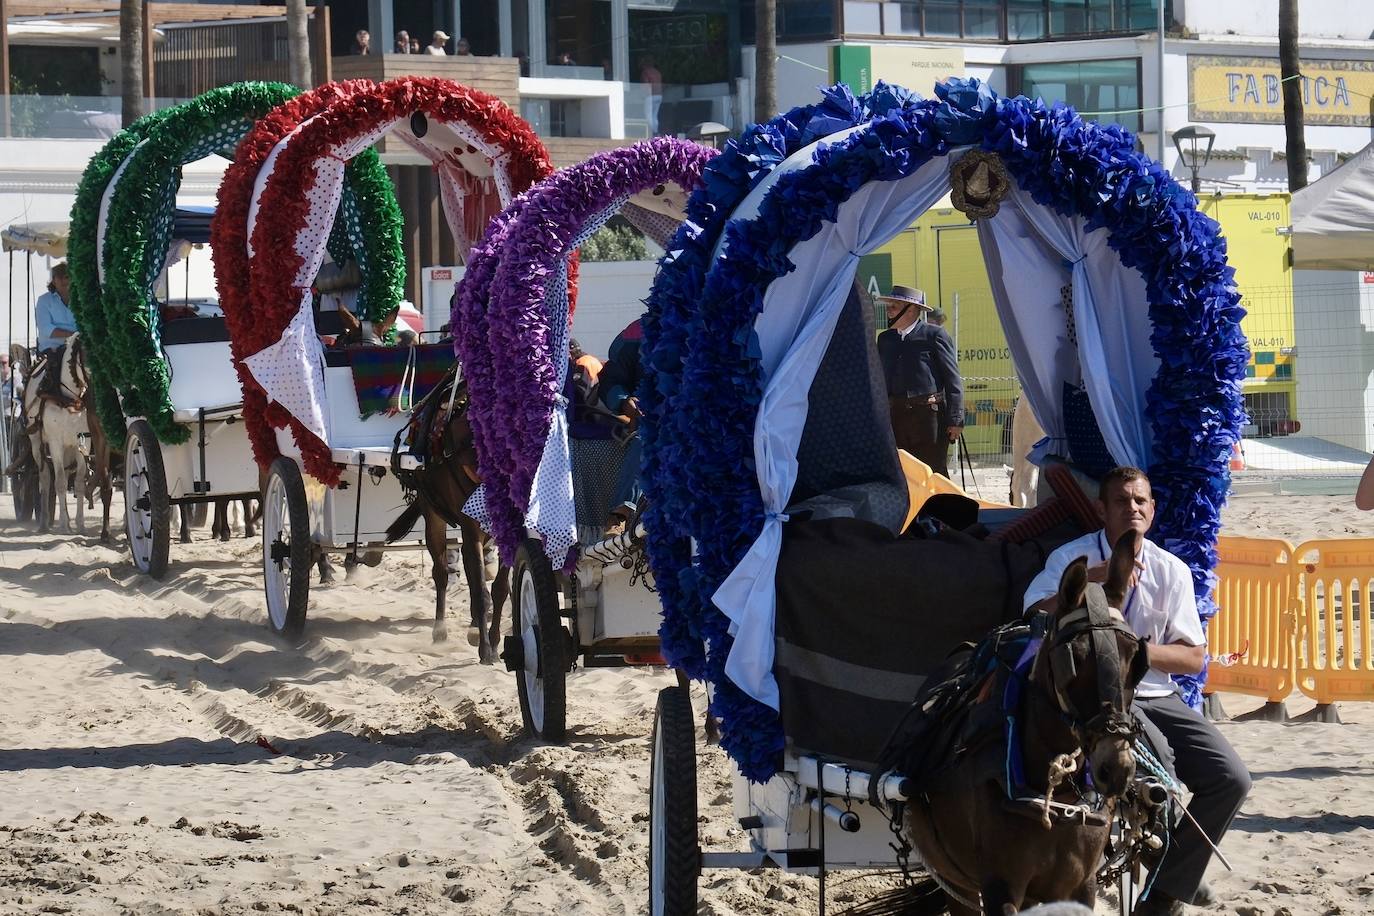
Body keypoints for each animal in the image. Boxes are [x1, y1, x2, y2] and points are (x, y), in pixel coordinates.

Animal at [22, 335, 111, 538]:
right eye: (90, 354)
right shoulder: (55, 442)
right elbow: (61, 482)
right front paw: (64, 524)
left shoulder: (83, 440)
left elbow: (78, 483)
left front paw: (80, 524)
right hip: (36, 442)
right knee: (46, 477)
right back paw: (44, 522)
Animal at [384, 368, 508, 661]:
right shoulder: (470, 526)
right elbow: (480, 592)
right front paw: (486, 650)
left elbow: (499, 588)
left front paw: (494, 640)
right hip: (433, 516)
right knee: (441, 572)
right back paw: (440, 630)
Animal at [906, 530, 1154, 916]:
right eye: (1075, 659)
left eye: (1136, 662)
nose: (1116, 768)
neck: (1057, 799)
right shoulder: (1001, 888)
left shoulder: (1080, 884)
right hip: (954, 880)